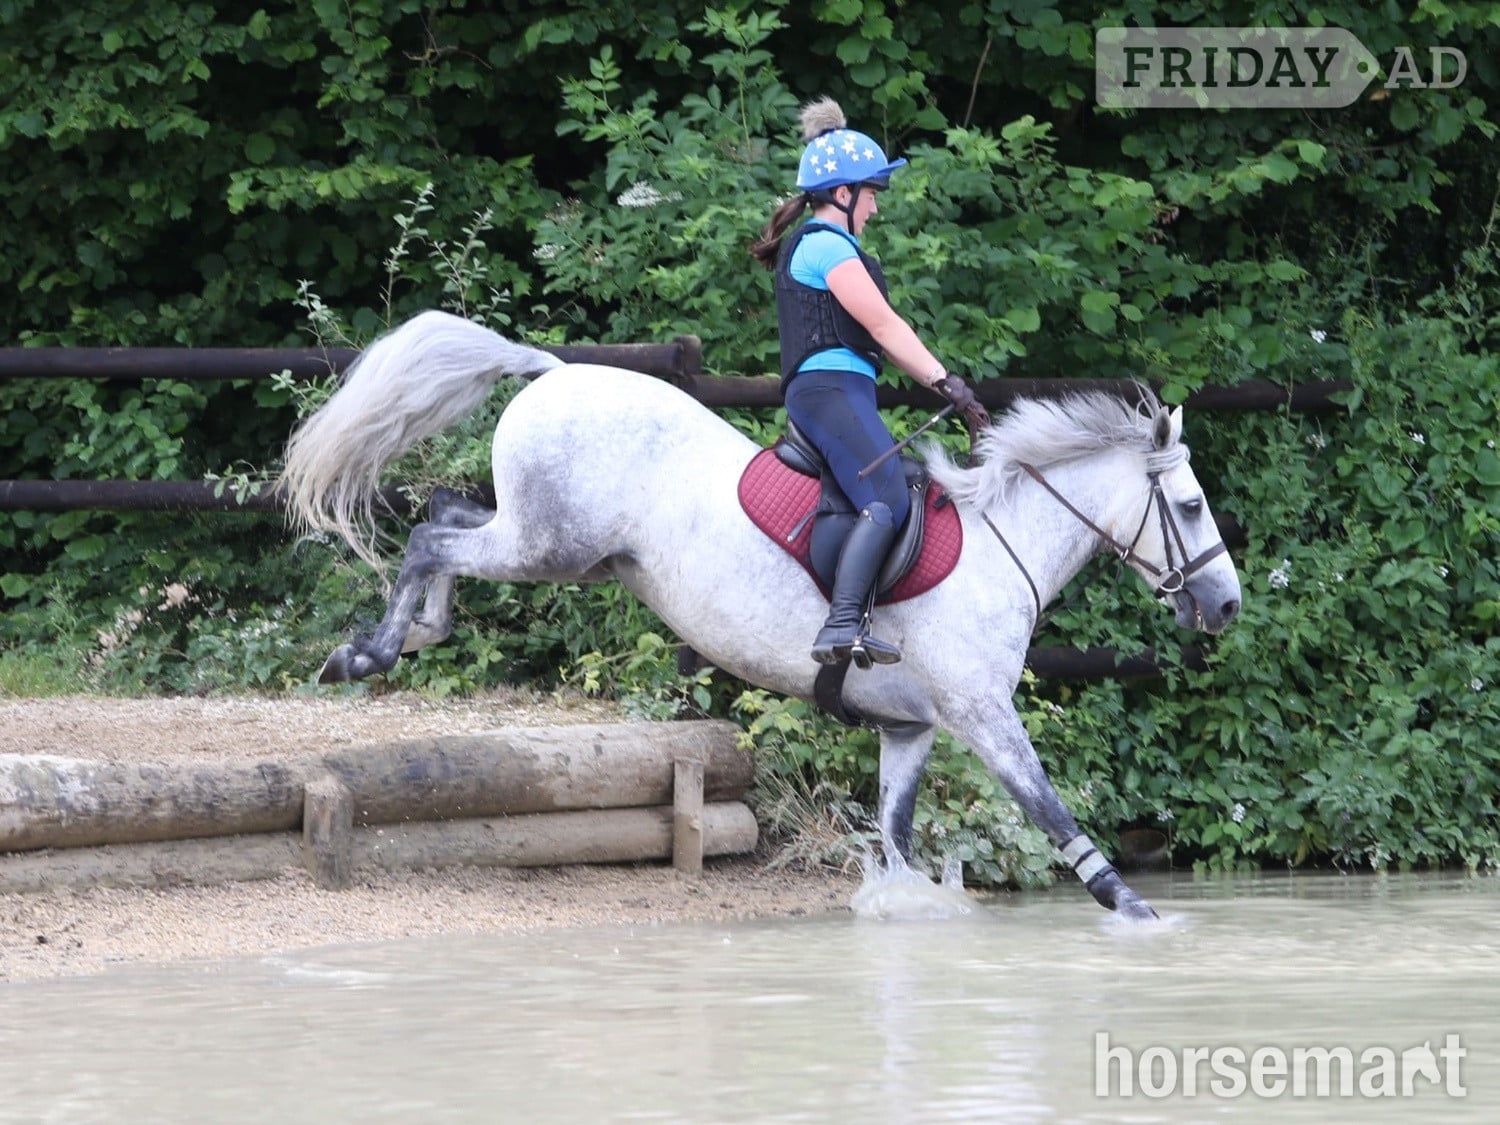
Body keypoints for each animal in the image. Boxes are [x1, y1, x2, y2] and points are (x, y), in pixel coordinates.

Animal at [279, 310, 1242, 921]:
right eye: (1193, 506)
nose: (1226, 604)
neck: (1003, 546)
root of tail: (556, 370)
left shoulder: (911, 728)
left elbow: (896, 835)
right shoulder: (983, 716)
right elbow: (1054, 815)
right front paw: (1138, 912)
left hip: (565, 551)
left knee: (442, 515)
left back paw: (408, 634)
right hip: (548, 546)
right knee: (428, 542)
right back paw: (368, 653)